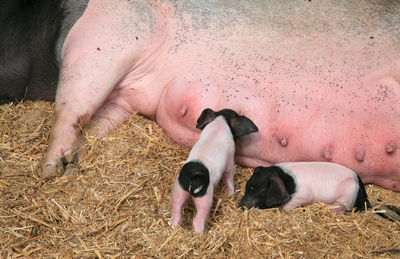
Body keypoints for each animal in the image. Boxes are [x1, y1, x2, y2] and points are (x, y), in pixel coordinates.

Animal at [26, 0, 398, 191]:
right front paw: (54, 170)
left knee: (88, 119)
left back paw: (67, 165)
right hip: (109, 44)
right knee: (75, 109)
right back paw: (54, 169)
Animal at [238, 162, 372, 213]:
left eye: (262, 191)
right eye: (248, 185)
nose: (240, 205)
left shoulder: (303, 195)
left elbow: (286, 207)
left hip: (348, 192)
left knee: (342, 207)